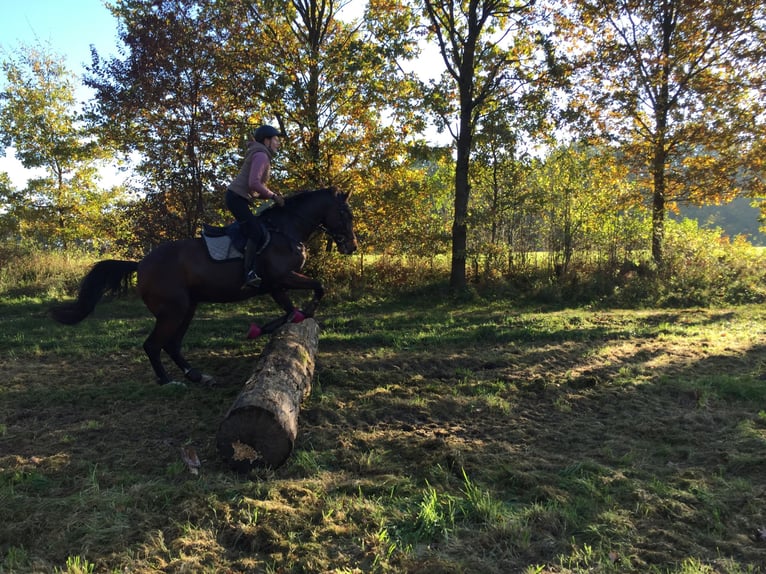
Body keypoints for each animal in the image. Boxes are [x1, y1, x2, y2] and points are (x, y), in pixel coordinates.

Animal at [51, 188, 356, 388]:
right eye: (344, 213)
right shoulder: (281, 279)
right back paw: (168, 381)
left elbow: (293, 309)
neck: (286, 230)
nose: (351, 246)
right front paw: (277, 323)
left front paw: (266, 327)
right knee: (153, 345)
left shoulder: (275, 286)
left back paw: (195, 375)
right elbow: (316, 290)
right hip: (173, 311)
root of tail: (140, 264)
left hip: (188, 308)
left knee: (172, 345)